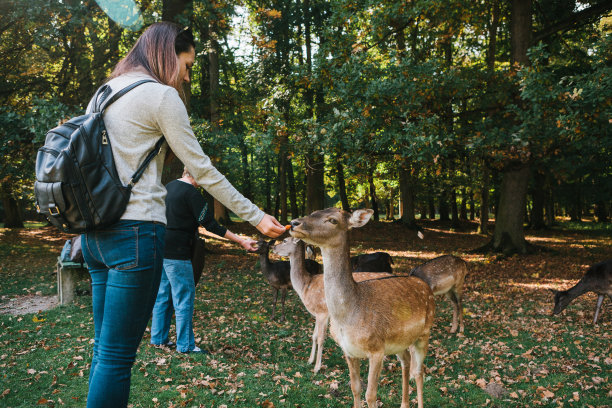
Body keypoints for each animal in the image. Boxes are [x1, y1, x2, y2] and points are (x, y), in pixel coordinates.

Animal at [272, 237, 392, 374]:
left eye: (285, 240)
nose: (273, 247)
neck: (306, 286)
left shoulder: (322, 312)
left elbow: (321, 338)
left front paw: (317, 367)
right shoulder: (317, 314)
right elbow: (313, 336)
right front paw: (310, 360)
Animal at [290, 210, 436, 408]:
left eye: (332, 220)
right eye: (313, 213)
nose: (293, 223)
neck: (348, 316)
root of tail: (425, 284)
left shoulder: (377, 350)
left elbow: (371, 395)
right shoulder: (349, 351)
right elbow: (355, 388)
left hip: (424, 333)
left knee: (419, 372)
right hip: (400, 341)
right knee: (406, 362)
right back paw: (404, 403)